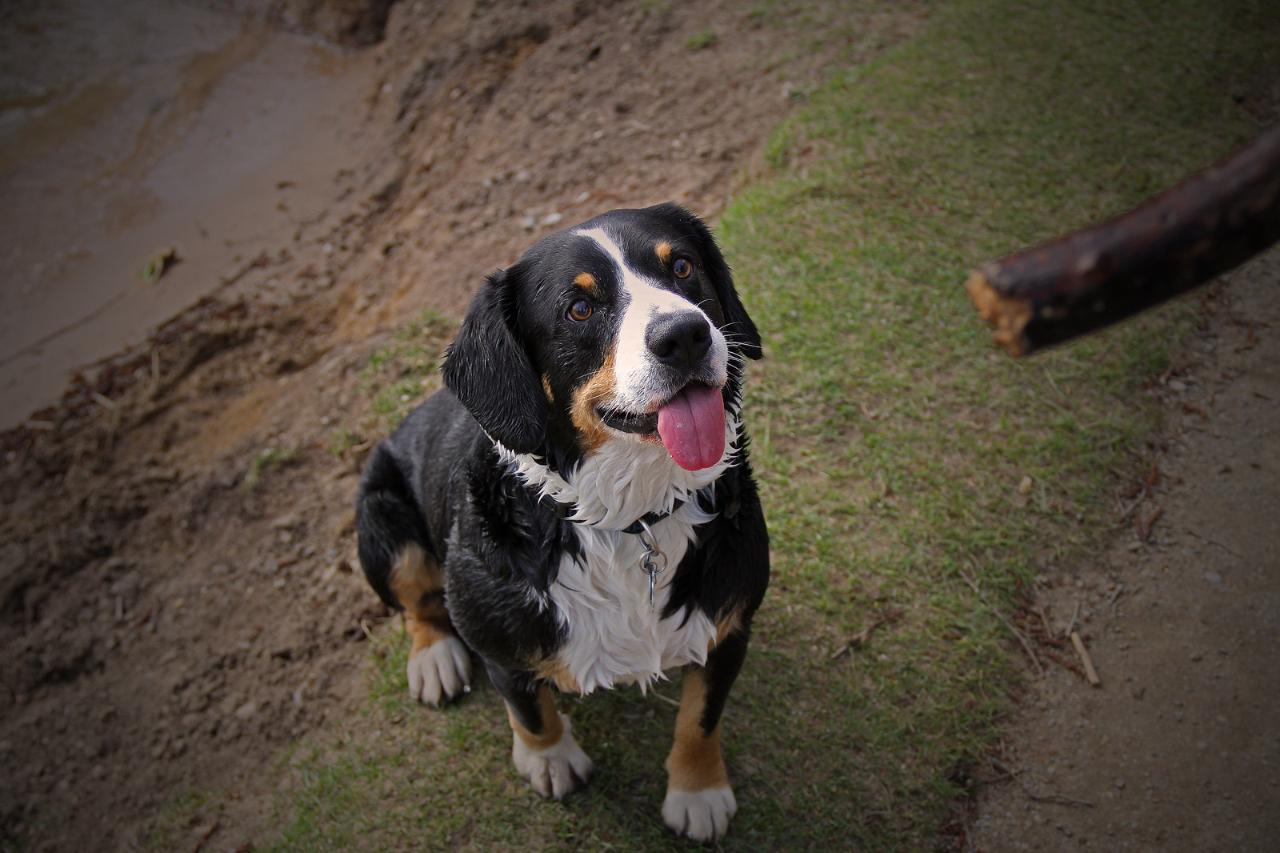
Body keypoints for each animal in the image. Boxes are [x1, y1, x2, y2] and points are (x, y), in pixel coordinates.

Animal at [356, 202, 769, 842]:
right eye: (579, 308)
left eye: (681, 266)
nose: (685, 335)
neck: (631, 520)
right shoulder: (499, 639)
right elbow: (529, 708)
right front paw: (550, 761)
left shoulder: (728, 622)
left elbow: (700, 719)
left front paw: (697, 792)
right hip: (379, 518)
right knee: (418, 603)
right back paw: (434, 659)